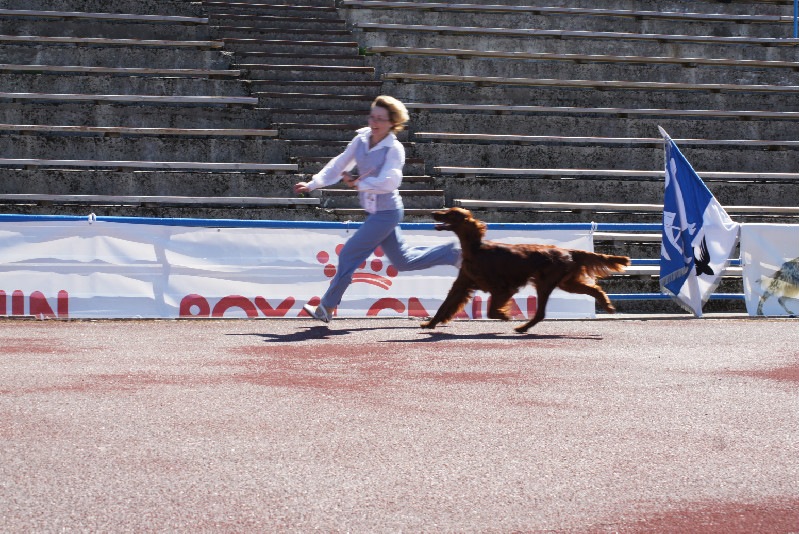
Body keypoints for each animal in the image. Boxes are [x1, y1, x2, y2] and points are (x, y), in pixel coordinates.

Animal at [420, 207, 630, 333]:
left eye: (451, 213)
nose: (434, 213)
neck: (476, 249)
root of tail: (567, 251)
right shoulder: (462, 285)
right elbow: (444, 306)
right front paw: (429, 324)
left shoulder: (503, 288)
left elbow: (492, 311)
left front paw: (505, 315)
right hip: (566, 283)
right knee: (594, 289)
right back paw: (608, 306)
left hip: (545, 282)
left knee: (541, 313)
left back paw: (522, 328)